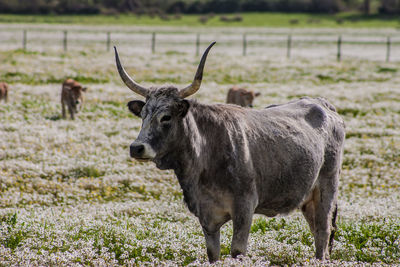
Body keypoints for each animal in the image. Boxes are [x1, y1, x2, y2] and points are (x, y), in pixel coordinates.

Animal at [114, 43, 346, 262]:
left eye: (166, 117)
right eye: (143, 115)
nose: (136, 147)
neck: (206, 158)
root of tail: (323, 104)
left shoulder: (244, 209)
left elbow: (237, 251)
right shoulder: (206, 216)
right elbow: (212, 253)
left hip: (327, 188)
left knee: (323, 233)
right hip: (308, 199)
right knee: (317, 232)